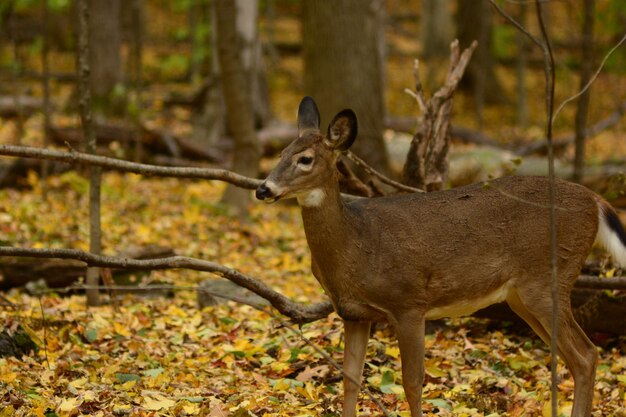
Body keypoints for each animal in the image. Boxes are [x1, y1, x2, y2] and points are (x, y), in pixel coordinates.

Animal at [254, 96, 624, 416]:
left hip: (548, 279)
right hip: (522, 296)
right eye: (280, 153)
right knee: (575, 357)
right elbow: (350, 381)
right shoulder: (354, 314)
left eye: (305, 159)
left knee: (586, 355)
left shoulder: (408, 303)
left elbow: (412, 382)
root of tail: (595, 200)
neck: (355, 245)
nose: (263, 189)